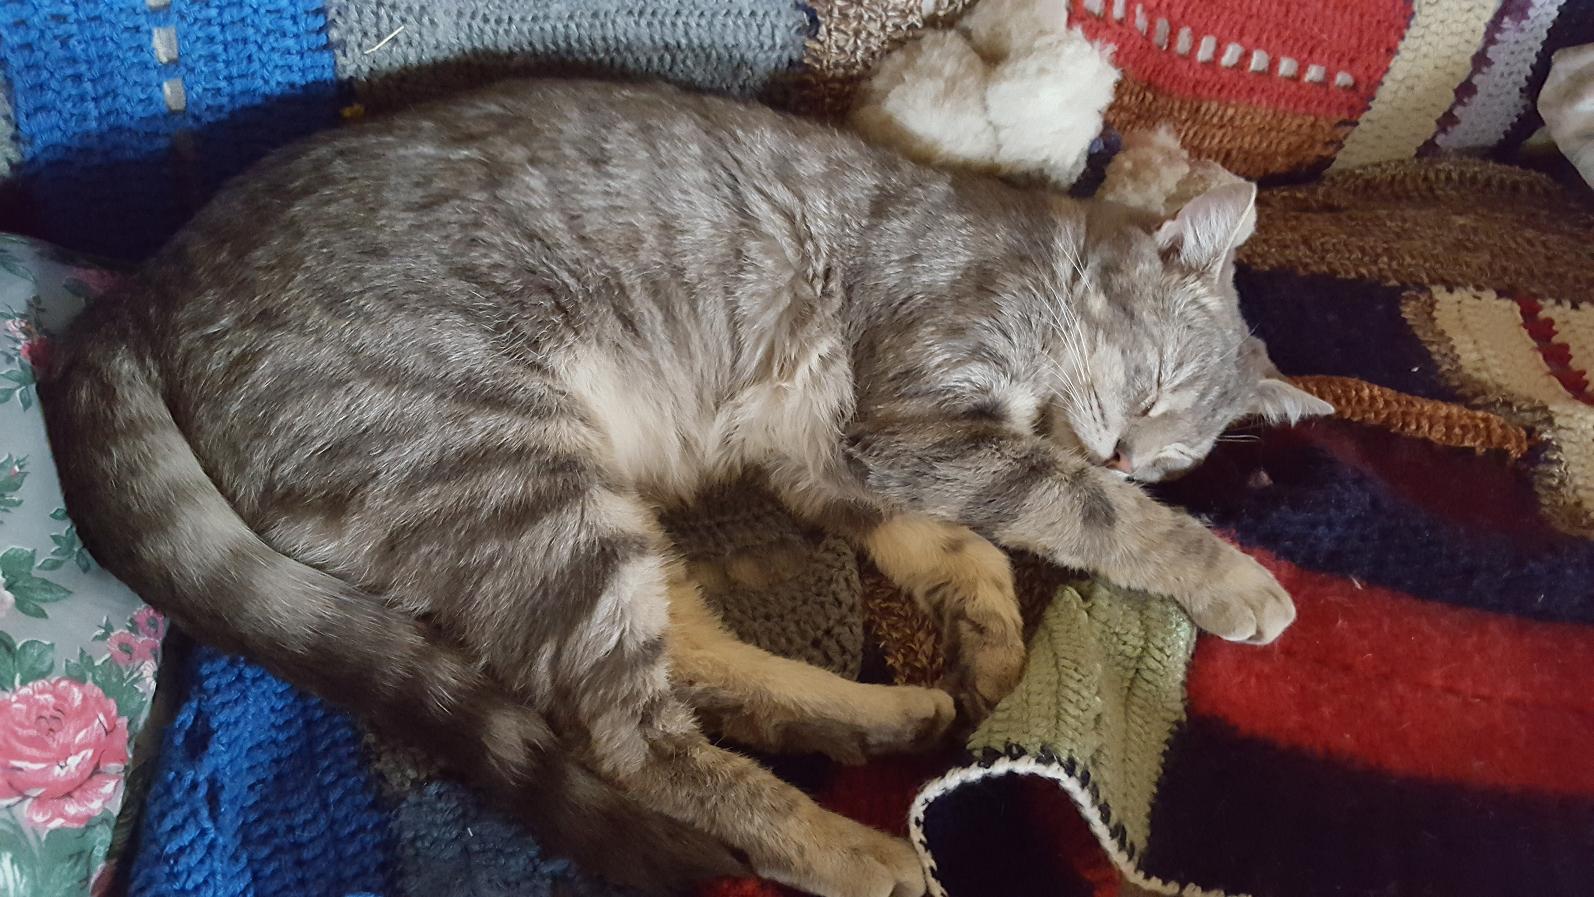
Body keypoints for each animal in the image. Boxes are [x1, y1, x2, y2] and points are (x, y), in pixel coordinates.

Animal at [40, 78, 1330, 897]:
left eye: (1176, 448)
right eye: (1155, 389)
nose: (1128, 454)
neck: (1044, 265)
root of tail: (139, 292)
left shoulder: (831, 457)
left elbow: (955, 545)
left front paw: (988, 628)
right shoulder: (909, 424)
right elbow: (1080, 512)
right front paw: (1226, 576)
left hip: (572, 505)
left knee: (688, 661)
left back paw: (878, 716)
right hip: (518, 476)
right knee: (629, 734)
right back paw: (848, 847)